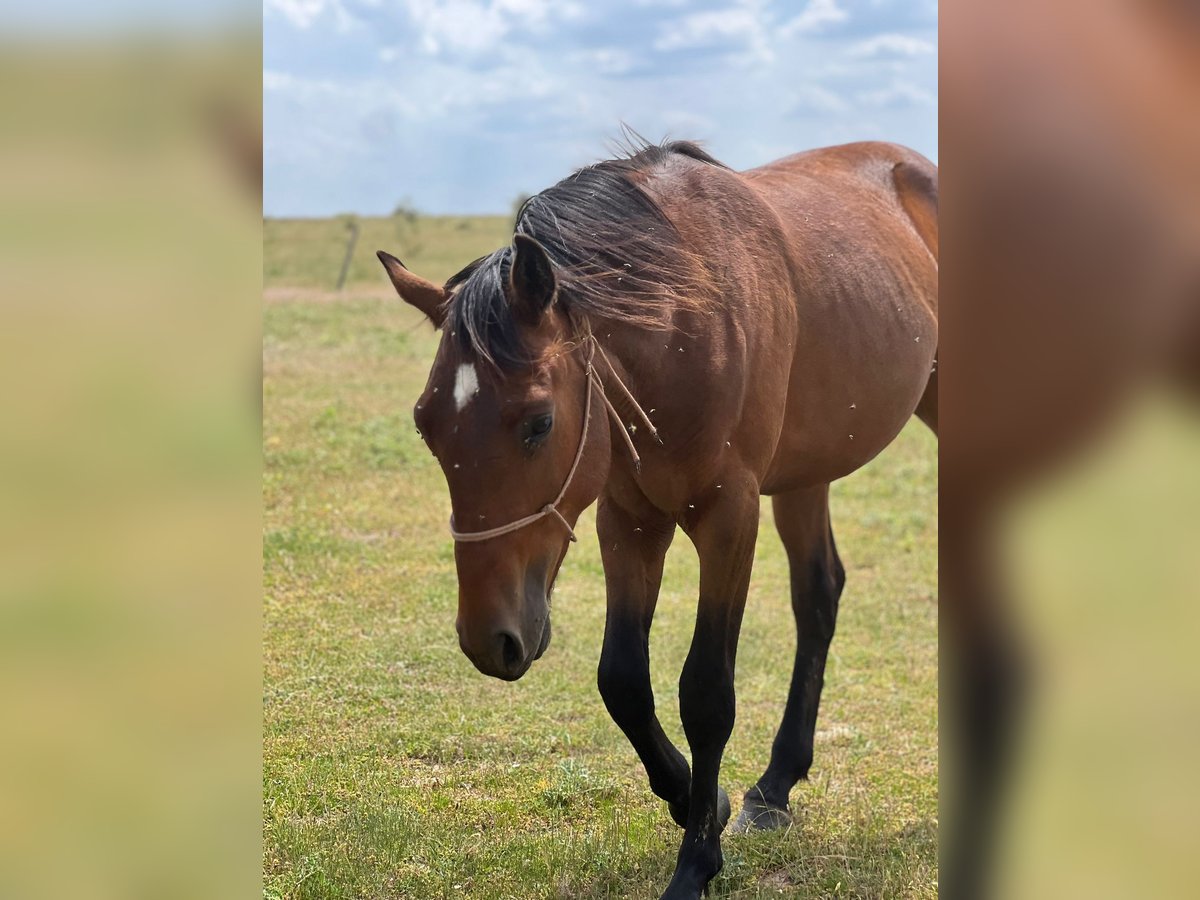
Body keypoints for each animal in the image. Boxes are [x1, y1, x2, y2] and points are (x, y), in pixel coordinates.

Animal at [374, 141, 936, 900]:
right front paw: (702, 799)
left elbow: (705, 693)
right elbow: (623, 682)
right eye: (425, 425)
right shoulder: (628, 521)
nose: (489, 640)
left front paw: (695, 863)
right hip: (805, 474)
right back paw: (774, 787)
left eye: (538, 422)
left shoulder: (728, 518)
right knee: (818, 596)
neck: (685, 324)